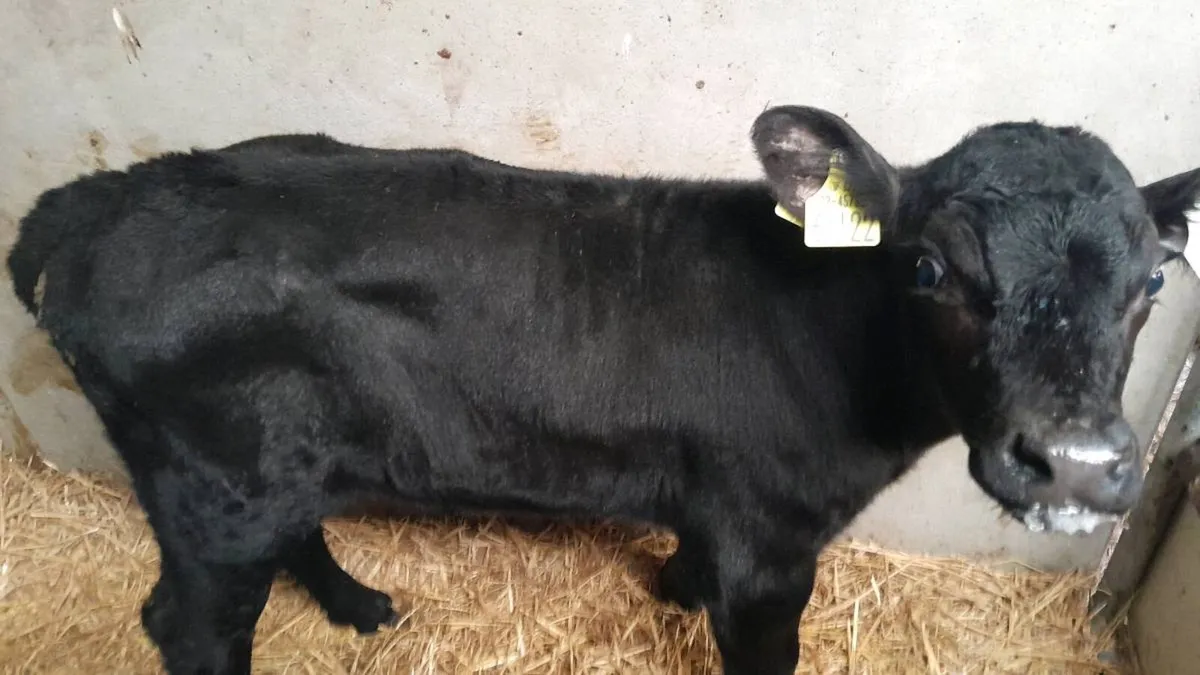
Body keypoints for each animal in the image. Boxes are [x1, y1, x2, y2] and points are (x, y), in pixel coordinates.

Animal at [7, 104, 1199, 675]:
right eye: (930, 269)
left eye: (1153, 279)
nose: (1076, 466)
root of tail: (97, 199)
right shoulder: (775, 542)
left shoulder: (724, 503)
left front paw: (671, 588)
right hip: (214, 480)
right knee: (187, 624)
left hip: (267, 465)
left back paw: (359, 606)